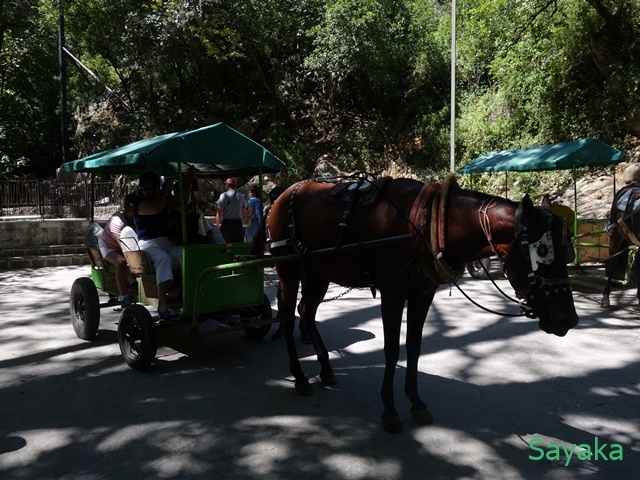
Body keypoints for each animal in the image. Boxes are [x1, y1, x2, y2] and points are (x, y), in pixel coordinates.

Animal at [256, 174, 580, 434]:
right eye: (542, 252)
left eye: (567, 251)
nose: (568, 320)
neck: (425, 225)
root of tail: (285, 194)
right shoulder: (392, 292)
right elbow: (390, 350)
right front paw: (389, 410)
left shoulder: (423, 294)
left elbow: (414, 347)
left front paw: (416, 402)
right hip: (288, 267)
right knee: (288, 316)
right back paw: (300, 377)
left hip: (318, 271)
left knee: (307, 313)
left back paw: (325, 367)